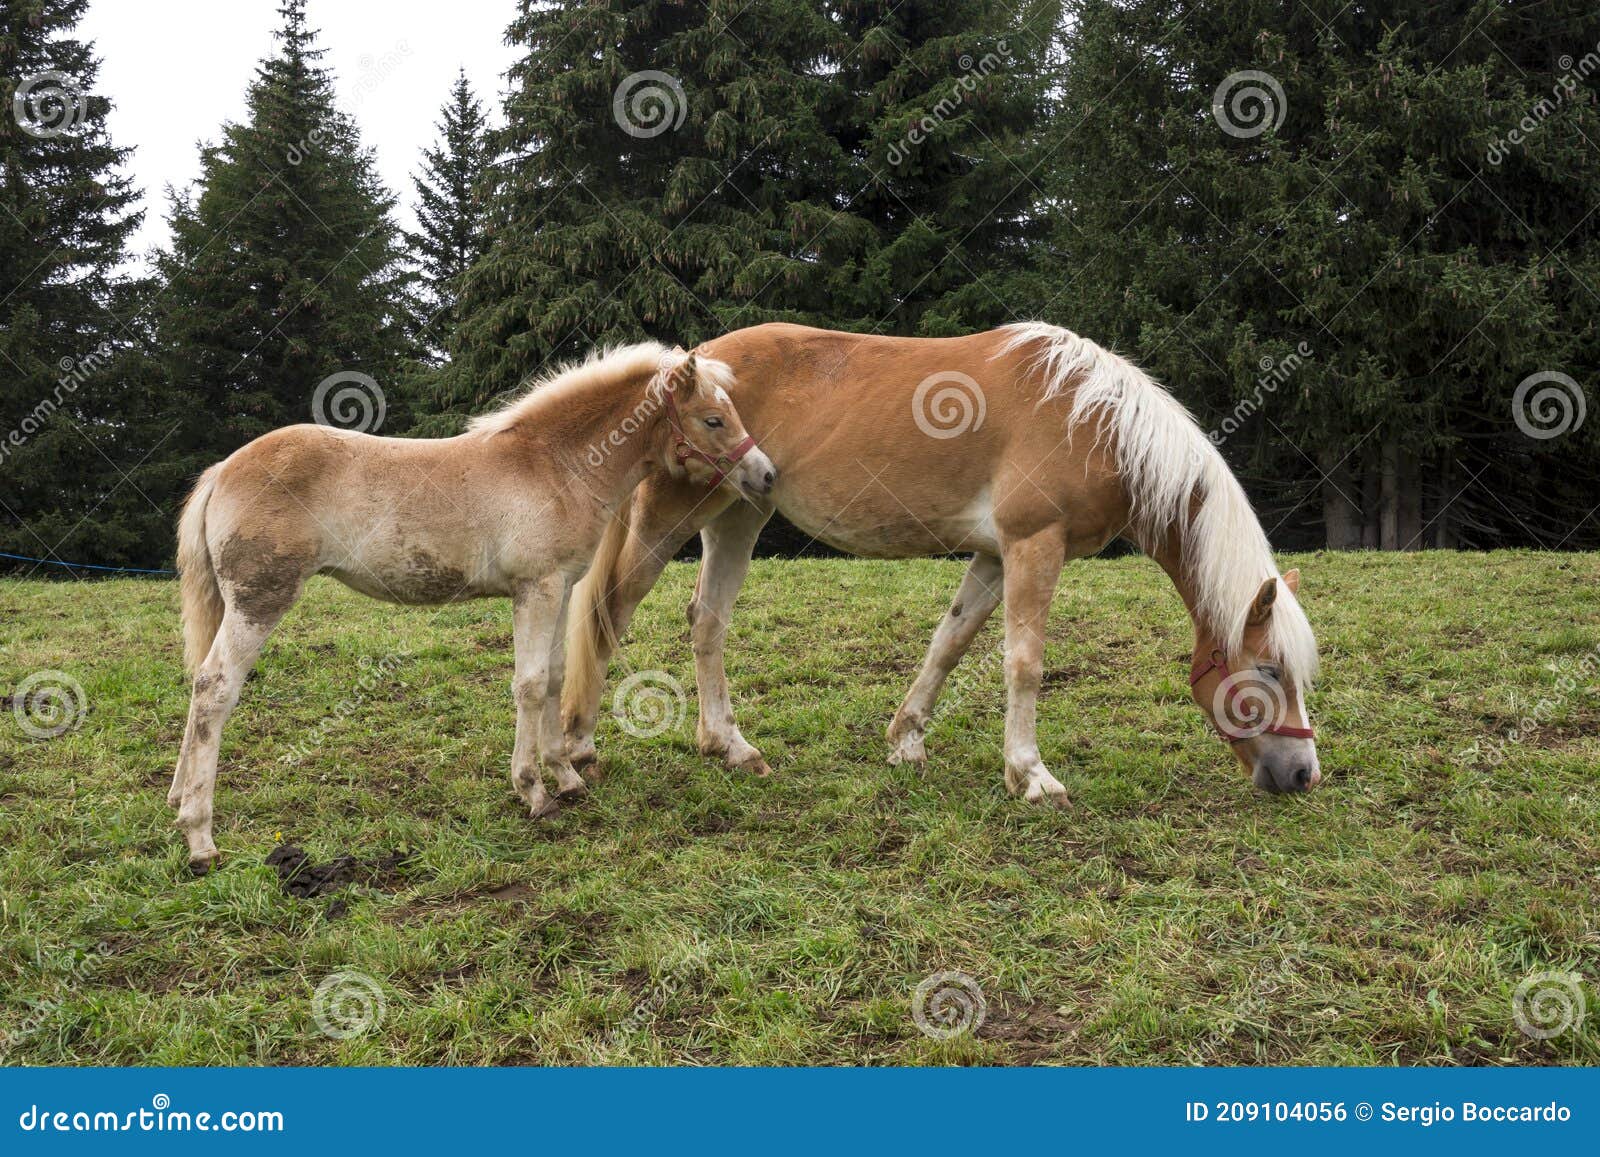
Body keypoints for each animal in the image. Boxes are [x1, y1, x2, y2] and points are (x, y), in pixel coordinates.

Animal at [173, 344, 774, 870]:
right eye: (713, 419)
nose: (766, 475)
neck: (556, 464)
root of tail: (223, 469)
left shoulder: (560, 587)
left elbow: (555, 677)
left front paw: (567, 779)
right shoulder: (536, 588)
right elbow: (530, 685)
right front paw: (534, 792)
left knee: (200, 684)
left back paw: (178, 798)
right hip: (259, 599)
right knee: (215, 688)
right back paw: (200, 837)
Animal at [563, 321, 1324, 800]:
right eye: (1268, 670)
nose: (1303, 774)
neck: (1094, 419)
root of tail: (682, 371)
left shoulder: (993, 556)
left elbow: (950, 643)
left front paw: (906, 740)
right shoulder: (1033, 545)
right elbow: (1025, 663)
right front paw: (1030, 775)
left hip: (739, 515)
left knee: (708, 620)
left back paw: (729, 745)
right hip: (672, 516)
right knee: (609, 612)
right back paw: (575, 751)